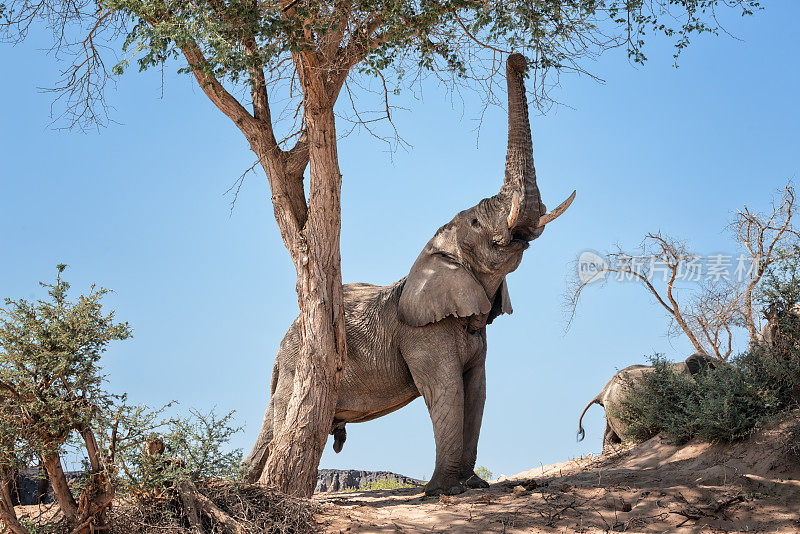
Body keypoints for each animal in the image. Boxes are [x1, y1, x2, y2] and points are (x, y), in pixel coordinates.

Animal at [244, 54, 576, 498]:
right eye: (475, 221)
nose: (517, 58)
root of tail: (281, 347)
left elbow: (478, 392)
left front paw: (473, 485)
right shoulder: (421, 334)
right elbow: (448, 392)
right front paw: (444, 491)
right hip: (297, 366)